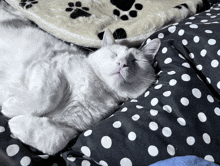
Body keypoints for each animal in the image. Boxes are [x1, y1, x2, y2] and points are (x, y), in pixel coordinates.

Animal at [0, 0, 162, 155]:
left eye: (135, 60)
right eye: (114, 54)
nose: (123, 63)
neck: (98, 90)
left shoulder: (72, 129)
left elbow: (56, 141)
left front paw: (17, 123)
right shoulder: (49, 65)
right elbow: (47, 98)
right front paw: (9, 108)